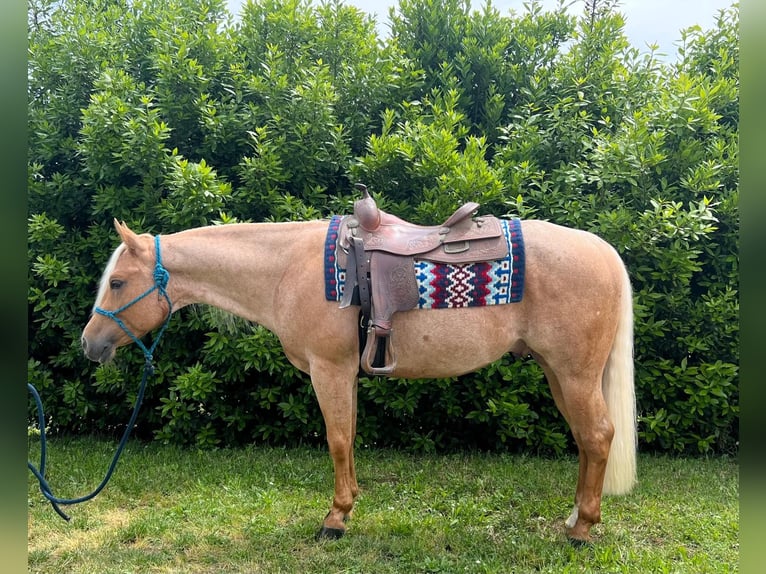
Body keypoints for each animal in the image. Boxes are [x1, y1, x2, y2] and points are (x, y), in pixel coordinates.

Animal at [81, 204, 637, 545]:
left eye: (117, 281)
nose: (89, 344)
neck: (288, 268)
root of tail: (605, 251)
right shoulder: (343, 373)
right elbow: (347, 436)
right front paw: (347, 509)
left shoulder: (329, 370)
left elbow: (337, 439)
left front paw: (335, 518)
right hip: (560, 375)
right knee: (588, 441)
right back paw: (575, 516)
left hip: (574, 374)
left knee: (598, 436)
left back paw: (582, 529)